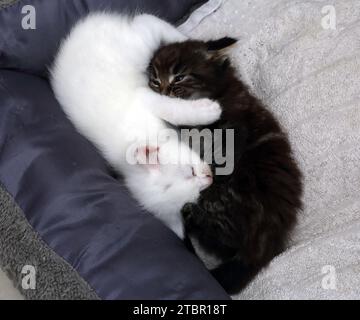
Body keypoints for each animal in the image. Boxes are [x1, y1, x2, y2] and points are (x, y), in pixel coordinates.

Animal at [50, 13, 219, 238]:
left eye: (190, 171)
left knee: (147, 22)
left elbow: (172, 110)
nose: (209, 178)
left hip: (134, 49)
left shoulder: (143, 98)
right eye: (193, 198)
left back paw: (186, 38)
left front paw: (210, 111)